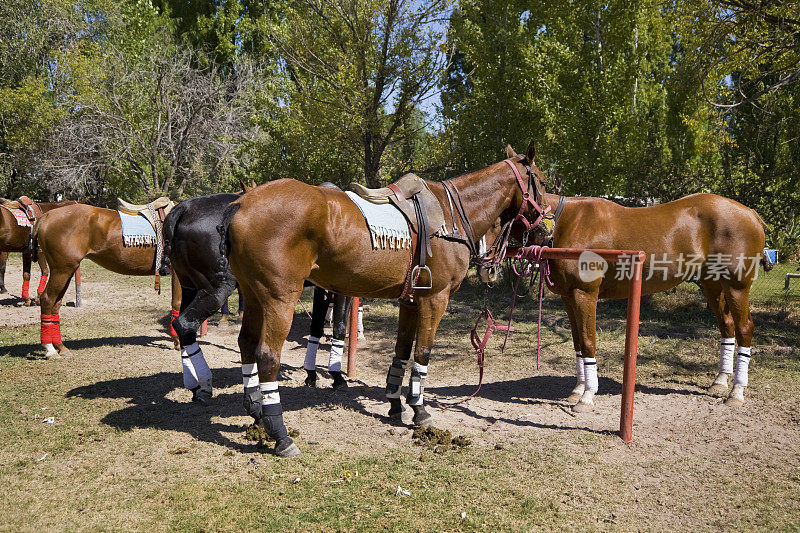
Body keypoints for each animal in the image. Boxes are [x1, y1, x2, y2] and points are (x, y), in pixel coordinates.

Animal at [34, 203, 181, 358]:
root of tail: (46, 216)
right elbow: (177, 303)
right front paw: (177, 340)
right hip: (61, 271)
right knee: (47, 299)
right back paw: (50, 349)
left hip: (67, 271)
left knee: (56, 304)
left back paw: (61, 347)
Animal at [220, 143, 552, 456]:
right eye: (543, 181)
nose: (548, 231)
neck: (452, 217)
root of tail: (241, 203)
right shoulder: (435, 299)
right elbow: (422, 354)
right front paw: (419, 409)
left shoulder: (411, 301)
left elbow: (402, 351)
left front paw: (395, 402)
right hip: (279, 298)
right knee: (266, 355)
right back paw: (280, 433)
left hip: (253, 295)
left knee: (246, 343)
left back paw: (257, 413)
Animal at [482, 189, 768, 410]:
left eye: (496, 223)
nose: (485, 265)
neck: (566, 223)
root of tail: (751, 214)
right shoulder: (568, 297)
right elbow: (578, 342)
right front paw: (578, 389)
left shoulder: (585, 294)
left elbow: (588, 341)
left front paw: (587, 396)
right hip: (712, 285)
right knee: (727, 327)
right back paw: (721, 381)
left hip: (736, 286)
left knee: (744, 328)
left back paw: (736, 392)